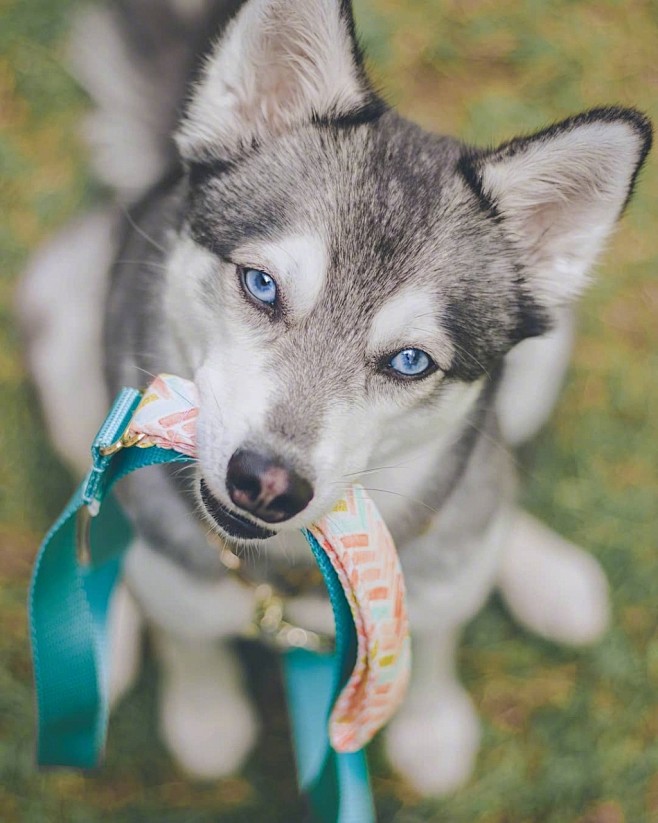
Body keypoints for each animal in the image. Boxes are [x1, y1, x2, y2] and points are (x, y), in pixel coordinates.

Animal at [16, 0, 652, 800]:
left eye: (410, 361)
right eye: (261, 285)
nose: (266, 482)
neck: (285, 582)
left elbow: (436, 630)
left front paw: (431, 722)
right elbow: (188, 635)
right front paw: (203, 708)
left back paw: (545, 571)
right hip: (64, 318)